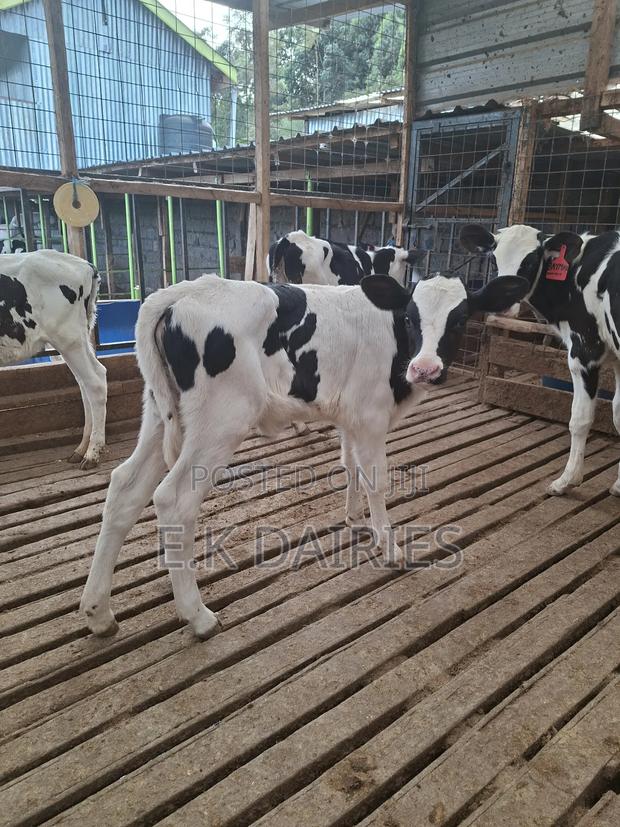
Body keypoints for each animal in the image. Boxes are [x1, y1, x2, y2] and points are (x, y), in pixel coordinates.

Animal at [0, 249, 107, 469]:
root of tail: (84, 264)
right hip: (78, 337)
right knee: (87, 381)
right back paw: (81, 448)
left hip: (68, 338)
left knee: (94, 383)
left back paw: (91, 454)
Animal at [80, 270, 528, 638]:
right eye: (411, 318)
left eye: (460, 318)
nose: (426, 369)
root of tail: (177, 293)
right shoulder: (371, 414)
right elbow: (376, 479)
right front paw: (390, 548)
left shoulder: (351, 416)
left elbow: (350, 466)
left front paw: (355, 519)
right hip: (220, 420)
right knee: (174, 500)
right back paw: (199, 616)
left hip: (160, 412)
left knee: (124, 487)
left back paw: (98, 612)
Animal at [460, 222, 620, 497]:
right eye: (493, 260)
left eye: (531, 261)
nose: (502, 304)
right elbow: (619, 414)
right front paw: (619, 484)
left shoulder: (584, 350)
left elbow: (579, 419)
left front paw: (567, 481)